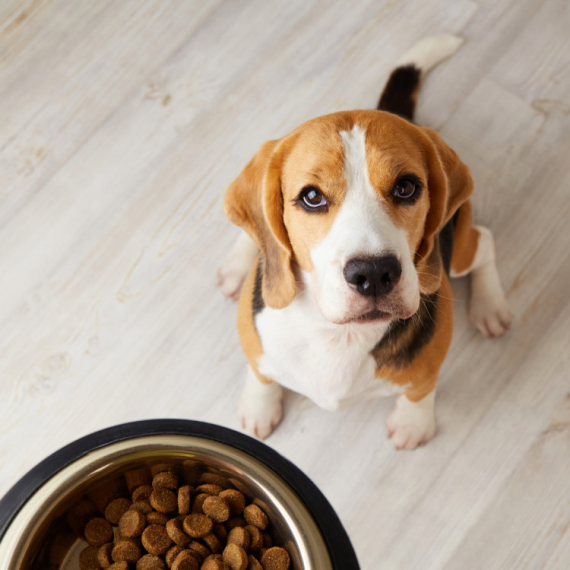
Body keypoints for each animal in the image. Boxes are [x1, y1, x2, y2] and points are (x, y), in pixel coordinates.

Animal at [216, 34, 510, 448]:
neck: (338, 334)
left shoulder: (430, 363)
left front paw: (413, 423)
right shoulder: (256, 341)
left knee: (484, 241)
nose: (373, 274)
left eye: (406, 187)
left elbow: (420, 391)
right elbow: (261, 372)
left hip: (457, 256)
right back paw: (238, 264)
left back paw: (490, 306)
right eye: (311, 196)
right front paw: (259, 406)